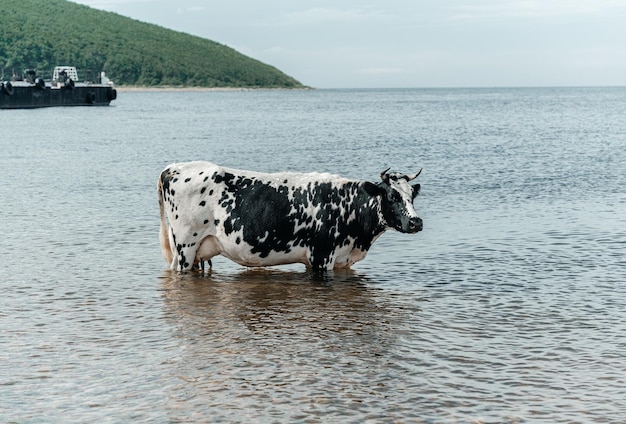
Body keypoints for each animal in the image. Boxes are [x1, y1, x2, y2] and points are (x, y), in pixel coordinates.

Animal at [156, 161, 422, 274]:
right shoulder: (321, 256)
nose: (416, 222)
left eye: (412, 195)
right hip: (185, 247)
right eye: (392, 196)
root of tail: (173, 167)